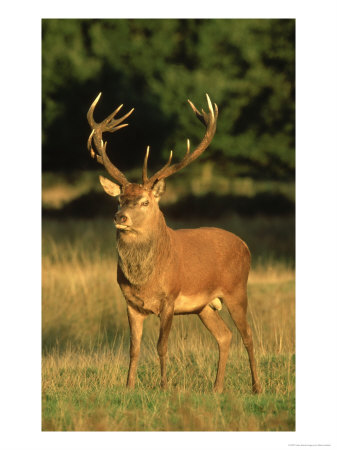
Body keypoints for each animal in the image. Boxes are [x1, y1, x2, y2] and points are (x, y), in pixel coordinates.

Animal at [85, 92, 262, 394]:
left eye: (145, 201)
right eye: (119, 199)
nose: (120, 217)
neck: (145, 279)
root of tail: (245, 245)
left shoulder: (170, 297)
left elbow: (161, 346)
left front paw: (164, 386)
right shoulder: (130, 303)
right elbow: (133, 349)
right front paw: (129, 387)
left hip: (237, 289)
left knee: (248, 335)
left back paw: (256, 387)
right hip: (204, 306)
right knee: (225, 335)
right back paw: (216, 388)